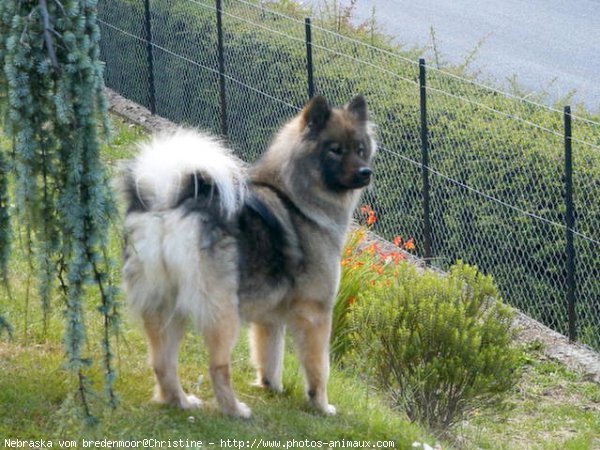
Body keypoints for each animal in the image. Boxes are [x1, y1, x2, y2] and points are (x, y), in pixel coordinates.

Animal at [120, 95, 378, 418]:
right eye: (336, 150)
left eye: (360, 149)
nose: (365, 172)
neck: (297, 199)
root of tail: (169, 205)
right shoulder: (316, 312)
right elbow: (318, 368)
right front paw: (321, 405)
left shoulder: (270, 318)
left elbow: (270, 354)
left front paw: (271, 387)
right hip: (222, 311)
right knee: (217, 367)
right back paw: (235, 410)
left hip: (165, 305)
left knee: (162, 363)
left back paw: (180, 401)